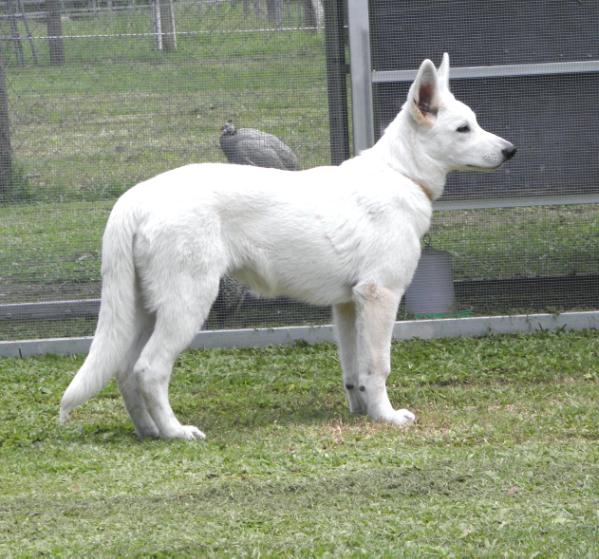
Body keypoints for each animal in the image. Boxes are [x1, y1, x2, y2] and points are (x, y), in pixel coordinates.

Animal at [61, 54, 516, 440]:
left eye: (475, 123)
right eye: (463, 129)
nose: (511, 150)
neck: (400, 173)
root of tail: (135, 197)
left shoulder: (347, 306)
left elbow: (354, 370)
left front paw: (362, 411)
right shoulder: (380, 296)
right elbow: (378, 366)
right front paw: (387, 416)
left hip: (141, 311)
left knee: (124, 372)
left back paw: (149, 431)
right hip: (187, 305)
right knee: (148, 370)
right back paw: (176, 432)